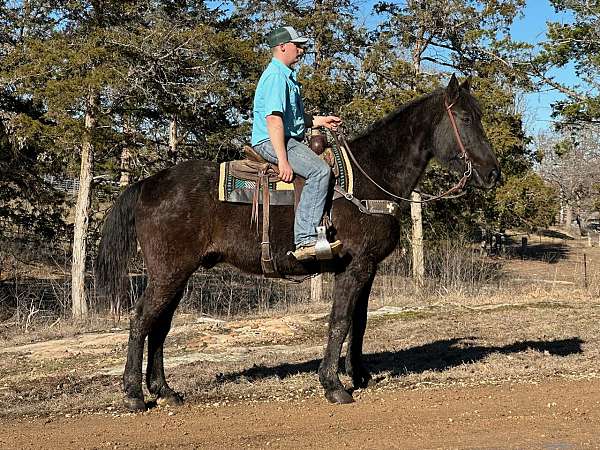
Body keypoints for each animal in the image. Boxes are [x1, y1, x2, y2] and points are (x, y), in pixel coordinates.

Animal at [97, 74, 502, 412]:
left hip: (178, 273)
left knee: (160, 325)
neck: (370, 177)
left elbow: (360, 321)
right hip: (169, 271)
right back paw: (134, 395)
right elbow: (340, 320)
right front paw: (333, 385)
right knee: (141, 319)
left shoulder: (366, 268)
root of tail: (149, 184)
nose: (493, 173)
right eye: (466, 118)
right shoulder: (355, 266)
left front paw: (359, 375)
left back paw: (165, 391)